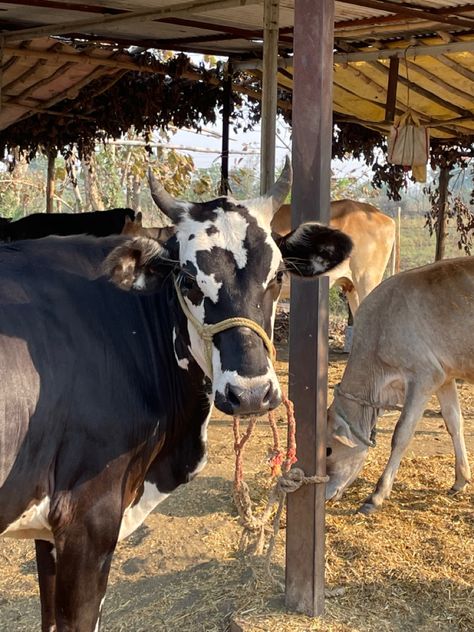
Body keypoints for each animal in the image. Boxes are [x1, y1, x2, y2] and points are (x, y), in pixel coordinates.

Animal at [328, 256, 472, 512]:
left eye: (328, 450)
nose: (324, 495)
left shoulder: (425, 376)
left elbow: (401, 433)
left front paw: (376, 496)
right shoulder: (444, 376)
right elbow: (454, 422)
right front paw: (460, 480)